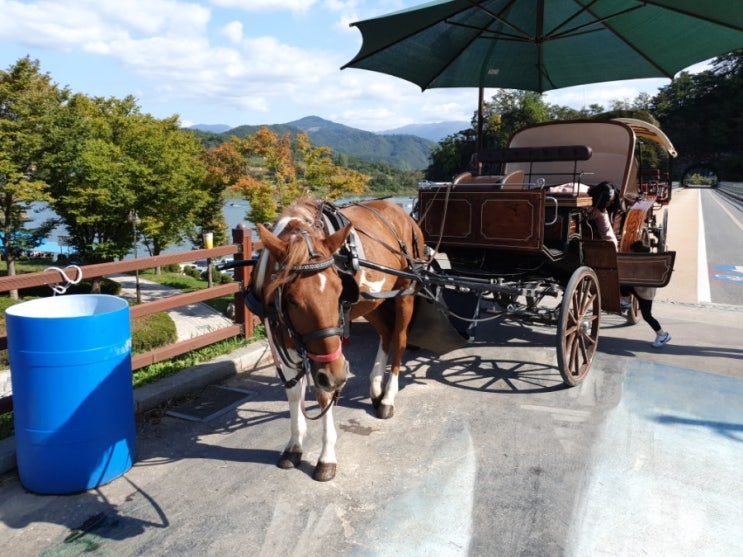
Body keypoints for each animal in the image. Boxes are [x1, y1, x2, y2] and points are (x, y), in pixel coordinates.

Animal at [248, 194, 424, 478]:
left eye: (340, 290)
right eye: (291, 300)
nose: (339, 375)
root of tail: (402, 212)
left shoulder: (327, 353)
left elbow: (323, 394)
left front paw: (326, 456)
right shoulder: (283, 338)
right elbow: (294, 393)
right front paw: (295, 444)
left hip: (405, 292)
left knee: (399, 339)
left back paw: (388, 397)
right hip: (372, 302)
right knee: (386, 334)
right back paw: (376, 387)